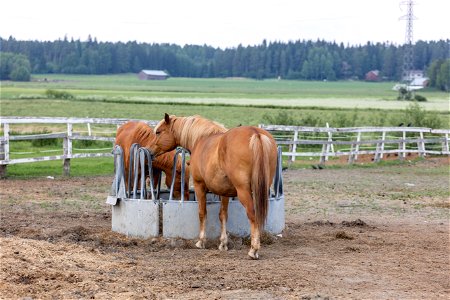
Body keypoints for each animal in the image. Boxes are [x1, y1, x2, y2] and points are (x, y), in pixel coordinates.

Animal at [149, 113, 278, 258]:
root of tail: (255, 133)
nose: (149, 151)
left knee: (252, 215)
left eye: (158, 132)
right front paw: (223, 243)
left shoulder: (199, 186)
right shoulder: (225, 192)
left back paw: (253, 249)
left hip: (243, 191)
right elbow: (223, 215)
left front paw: (201, 241)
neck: (201, 138)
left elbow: (202, 212)